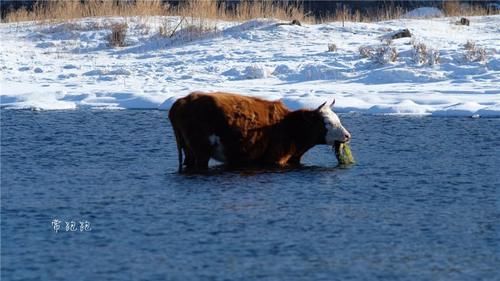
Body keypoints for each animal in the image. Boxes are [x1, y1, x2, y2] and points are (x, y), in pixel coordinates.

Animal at [169, 91, 352, 172]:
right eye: (328, 122)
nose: (347, 136)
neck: (288, 126)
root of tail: (181, 101)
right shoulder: (275, 158)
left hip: (188, 150)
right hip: (201, 151)